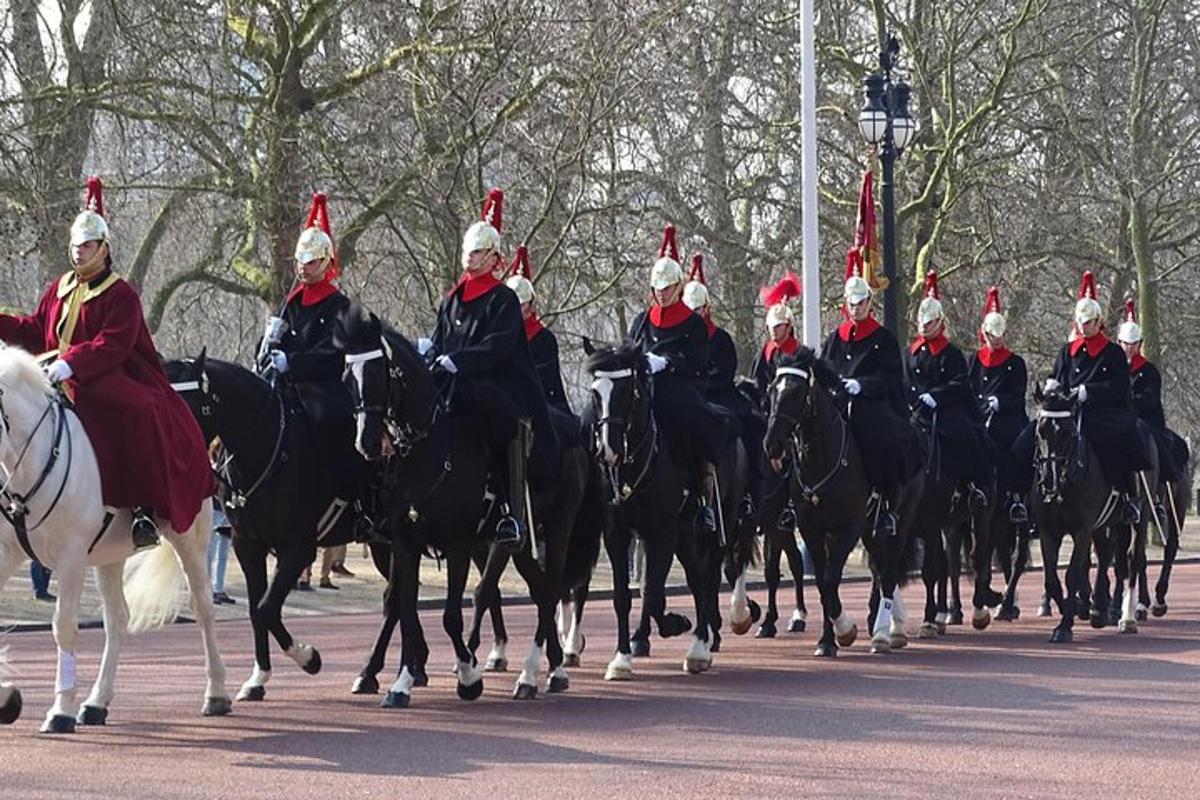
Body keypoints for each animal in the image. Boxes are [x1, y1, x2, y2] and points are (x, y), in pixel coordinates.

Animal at [0, 345, 229, 734]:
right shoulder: (5, 553)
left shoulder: (71, 556)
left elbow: (65, 627)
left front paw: (60, 709)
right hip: (109, 556)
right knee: (117, 619)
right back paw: (96, 702)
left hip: (191, 542)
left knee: (204, 609)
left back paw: (217, 693)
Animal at [763, 347, 921, 657]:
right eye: (772, 389)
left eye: (797, 392)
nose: (772, 445)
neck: (821, 459)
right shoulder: (812, 529)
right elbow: (824, 583)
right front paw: (829, 639)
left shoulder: (849, 527)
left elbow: (830, 578)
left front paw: (844, 629)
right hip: (871, 530)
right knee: (878, 567)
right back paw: (879, 621)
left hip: (900, 521)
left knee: (888, 572)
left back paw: (884, 632)